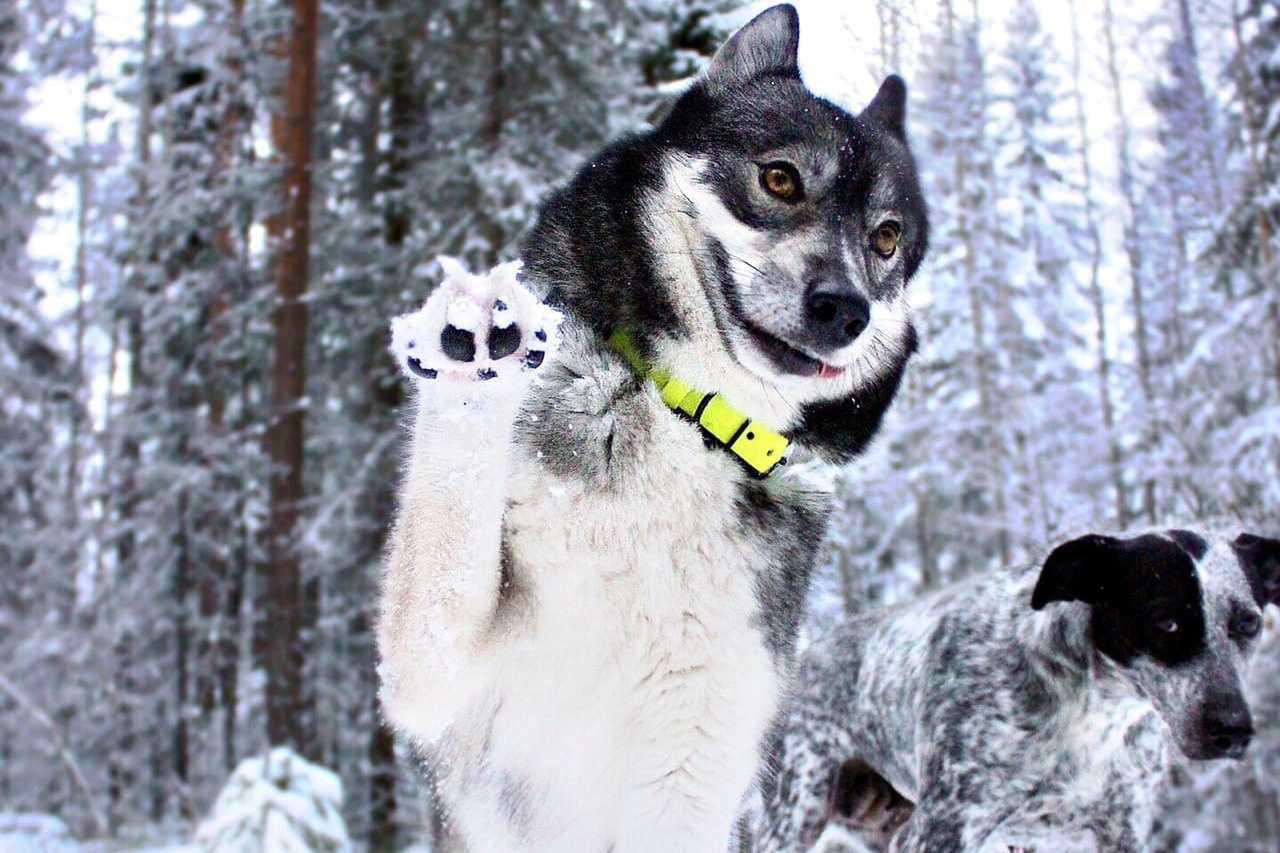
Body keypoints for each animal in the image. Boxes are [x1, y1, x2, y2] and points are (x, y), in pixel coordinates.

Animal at [373, 4, 926, 845]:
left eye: (885, 238)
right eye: (780, 178)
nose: (845, 309)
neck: (688, 416)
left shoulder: (692, 767)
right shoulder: (431, 677)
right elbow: (444, 543)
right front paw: (473, 345)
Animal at [747, 527, 1280, 845]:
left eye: (1248, 623)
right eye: (1165, 622)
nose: (1232, 730)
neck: (1090, 713)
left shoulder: (1119, 829)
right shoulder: (943, 830)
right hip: (795, 814)